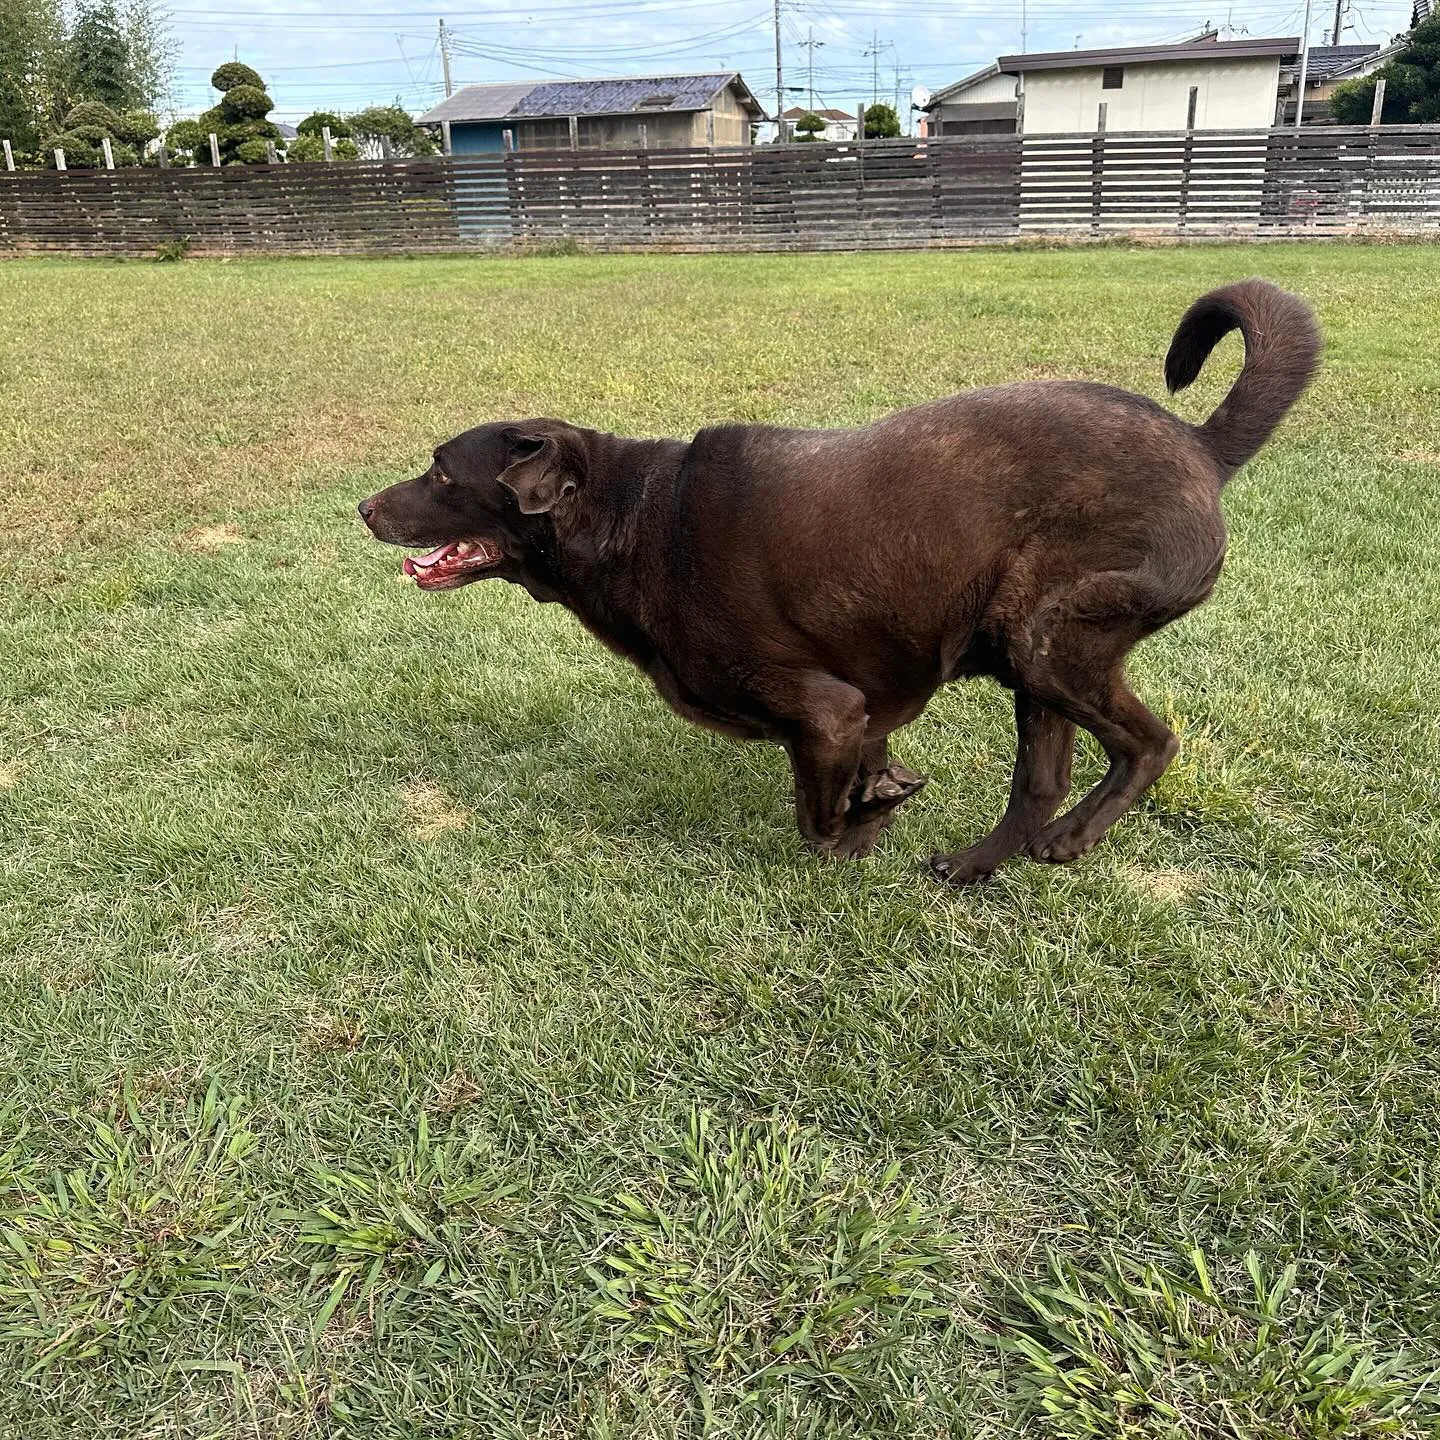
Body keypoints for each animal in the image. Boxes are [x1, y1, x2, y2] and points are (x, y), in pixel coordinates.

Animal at [360, 279, 1319, 875]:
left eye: (440, 473)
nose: (364, 507)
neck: (633, 517)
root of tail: (1200, 444)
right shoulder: (865, 706)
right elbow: (864, 772)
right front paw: (884, 801)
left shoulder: (826, 712)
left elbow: (815, 823)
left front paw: (861, 829)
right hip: (1029, 650)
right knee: (1039, 780)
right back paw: (974, 864)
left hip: (1046, 637)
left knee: (1148, 744)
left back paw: (1072, 840)